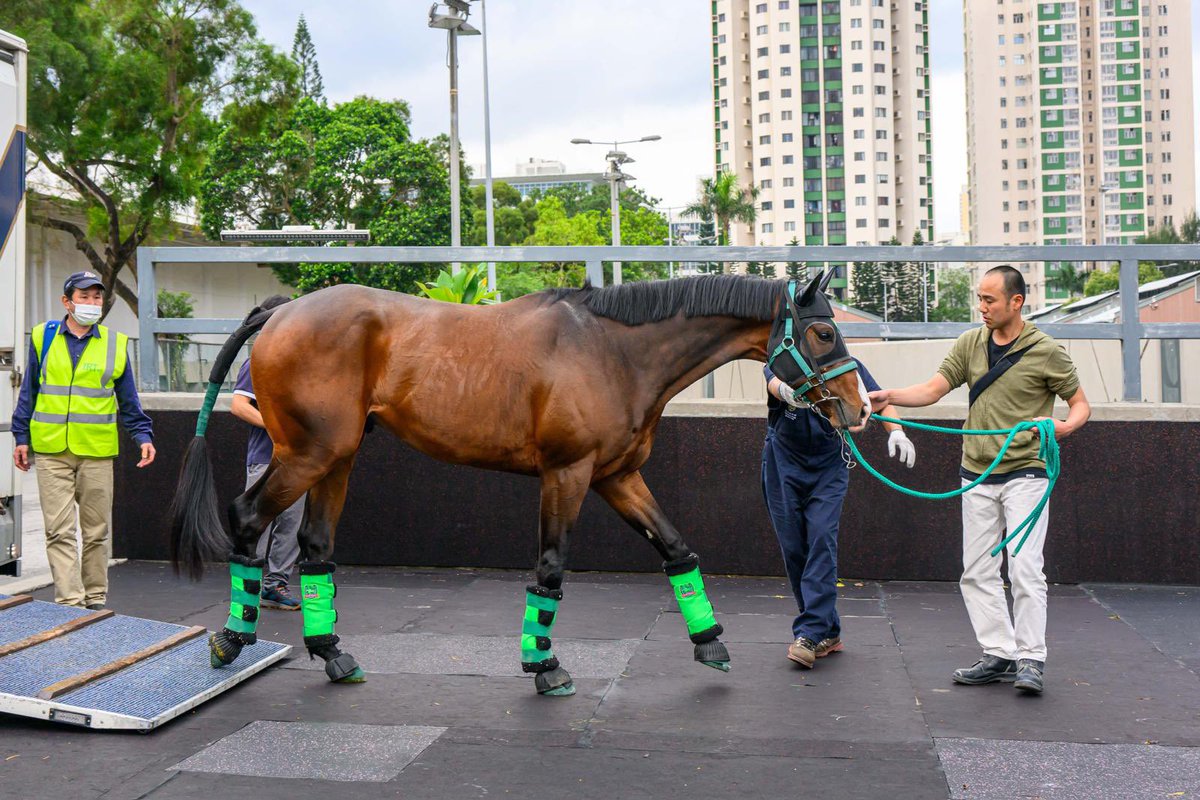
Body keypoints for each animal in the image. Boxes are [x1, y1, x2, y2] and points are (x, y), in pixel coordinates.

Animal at [171, 268, 864, 695]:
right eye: (824, 331)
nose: (858, 408)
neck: (613, 351)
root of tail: (282, 311)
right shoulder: (567, 473)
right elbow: (551, 569)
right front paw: (544, 664)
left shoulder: (617, 475)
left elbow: (677, 549)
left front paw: (710, 642)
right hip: (307, 454)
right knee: (248, 517)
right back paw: (232, 639)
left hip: (335, 459)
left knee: (315, 547)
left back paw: (333, 653)